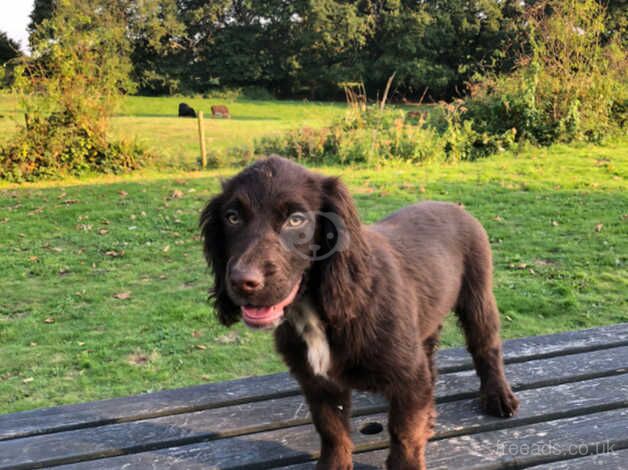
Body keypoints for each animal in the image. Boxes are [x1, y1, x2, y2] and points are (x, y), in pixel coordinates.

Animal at [201, 156, 520, 468]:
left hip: (477, 295)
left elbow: (404, 435)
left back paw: (498, 396)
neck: (315, 310)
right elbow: (332, 430)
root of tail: (453, 206)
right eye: (232, 217)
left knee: (485, 346)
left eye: (296, 219)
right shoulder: (318, 382)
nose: (242, 282)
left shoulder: (408, 379)